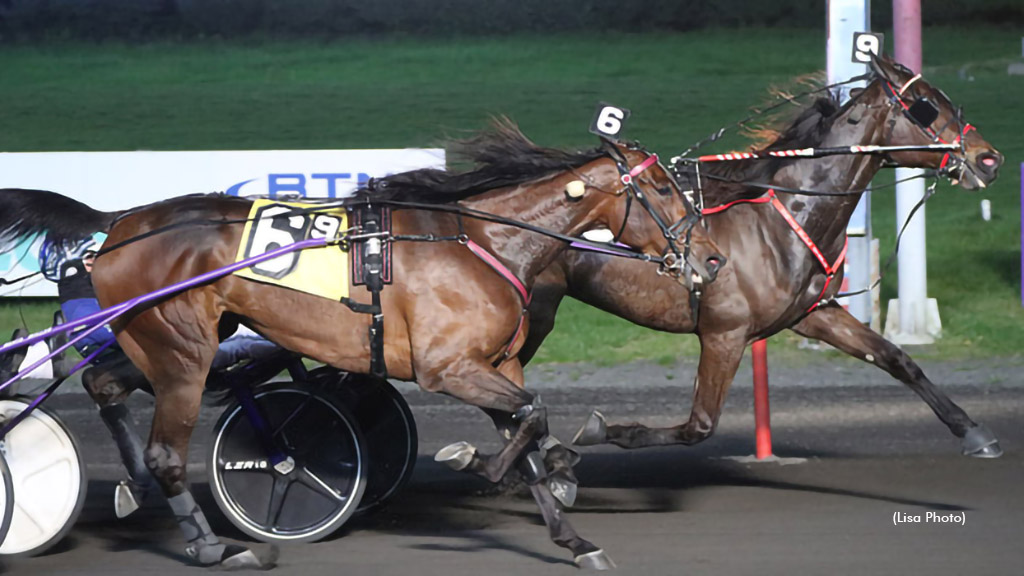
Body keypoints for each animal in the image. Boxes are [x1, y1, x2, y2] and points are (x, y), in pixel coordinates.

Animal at [0, 123, 724, 565]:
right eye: (662, 188)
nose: (712, 259)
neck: (483, 242)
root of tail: (118, 224)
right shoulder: (446, 366)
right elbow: (531, 418)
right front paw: (474, 461)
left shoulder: (495, 364)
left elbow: (525, 426)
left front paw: (572, 538)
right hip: (184, 351)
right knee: (166, 450)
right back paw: (214, 546)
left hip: (165, 339)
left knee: (104, 384)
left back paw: (132, 487)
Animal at [524, 56, 1003, 455]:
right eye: (926, 106)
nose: (990, 159)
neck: (783, 219)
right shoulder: (724, 334)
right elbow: (698, 426)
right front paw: (604, 431)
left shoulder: (814, 313)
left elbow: (896, 359)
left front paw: (973, 432)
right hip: (536, 315)